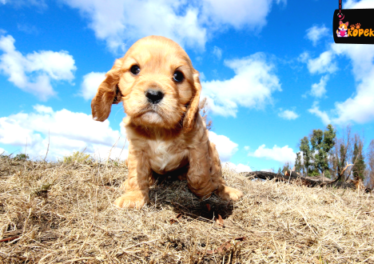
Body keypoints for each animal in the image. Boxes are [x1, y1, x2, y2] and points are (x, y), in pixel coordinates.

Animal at [90, 35, 243, 208]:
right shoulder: (137, 148)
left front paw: (206, 190)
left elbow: (198, 175)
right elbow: (137, 174)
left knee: (217, 176)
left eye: (178, 76)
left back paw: (226, 190)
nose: (154, 94)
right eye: (135, 69)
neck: (159, 130)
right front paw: (134, 197)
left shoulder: (199, 143)